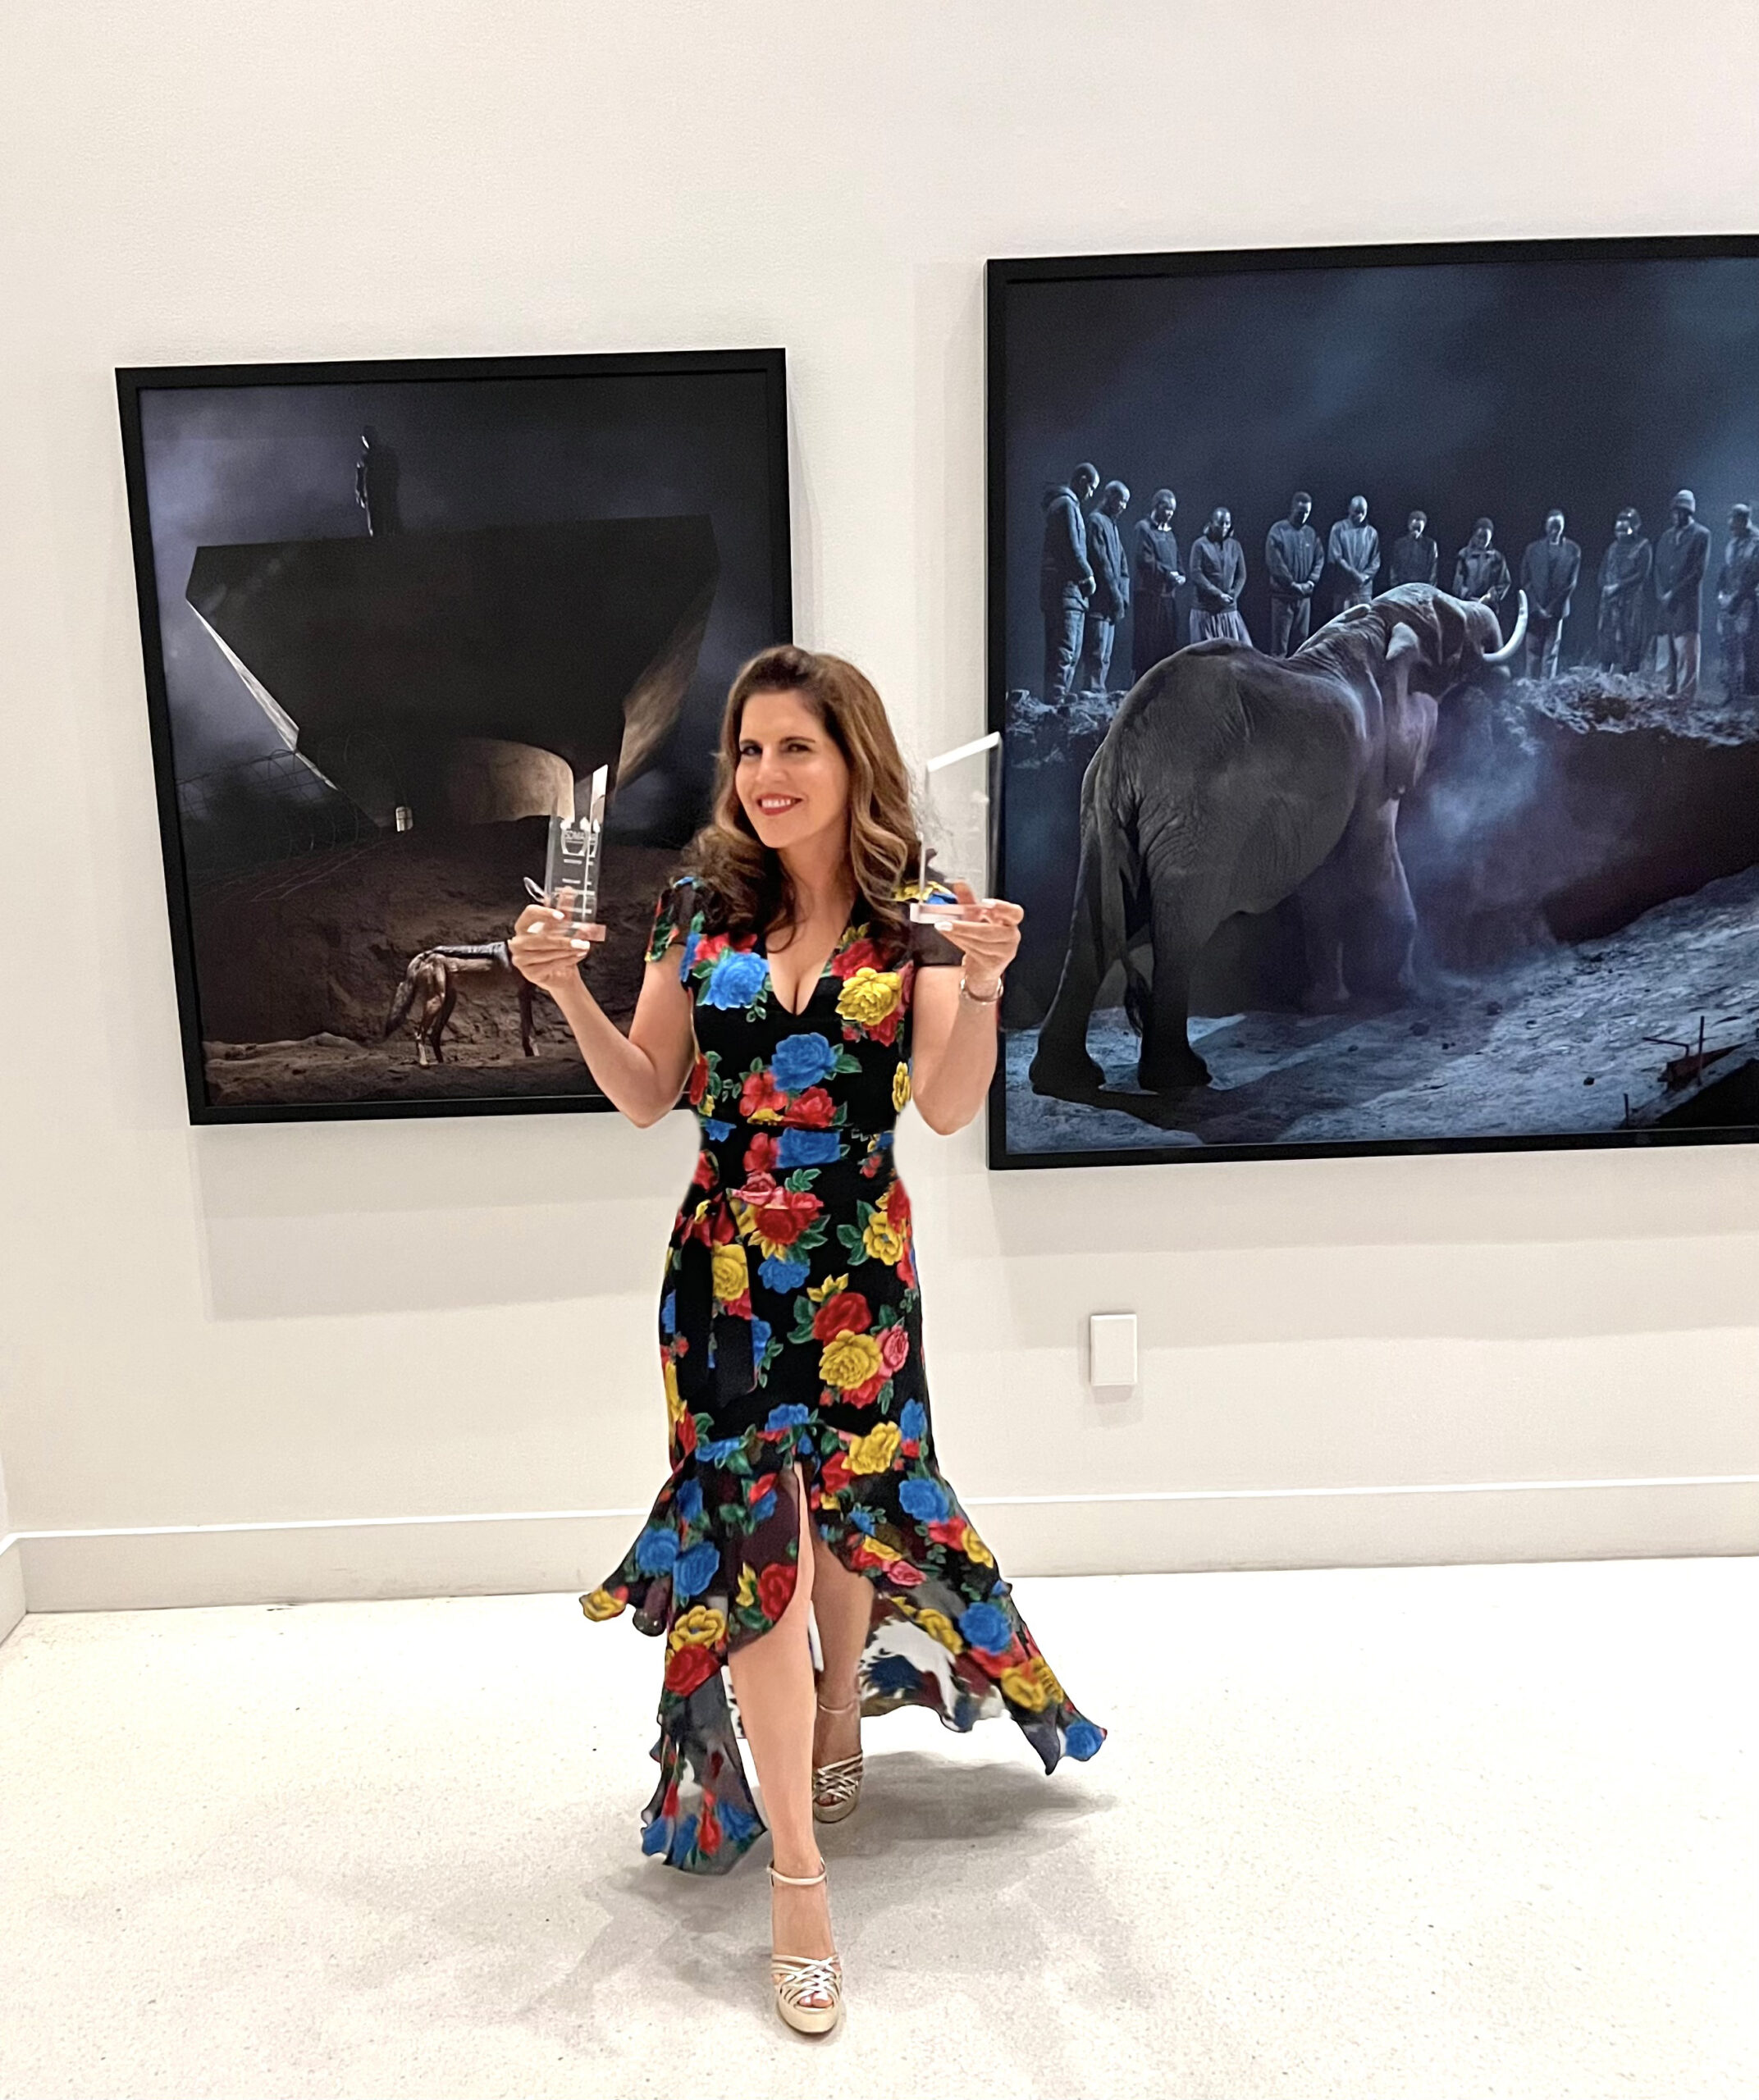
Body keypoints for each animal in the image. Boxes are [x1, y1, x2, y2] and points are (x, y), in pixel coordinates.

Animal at [1032, 579, 1528, 1092]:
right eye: (1449, 622)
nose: (1495, 595)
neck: (1372, 623)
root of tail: (1121, 754)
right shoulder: (1376, 758)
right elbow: (1372, 851)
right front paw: (1408, 993)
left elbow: (1322, 883)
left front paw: (1327, 1005)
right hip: (1195, 823)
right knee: (1179, 934)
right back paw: (1182, 1078)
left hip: (1098, 818)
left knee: (1088, 933)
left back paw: (1066, 1078)